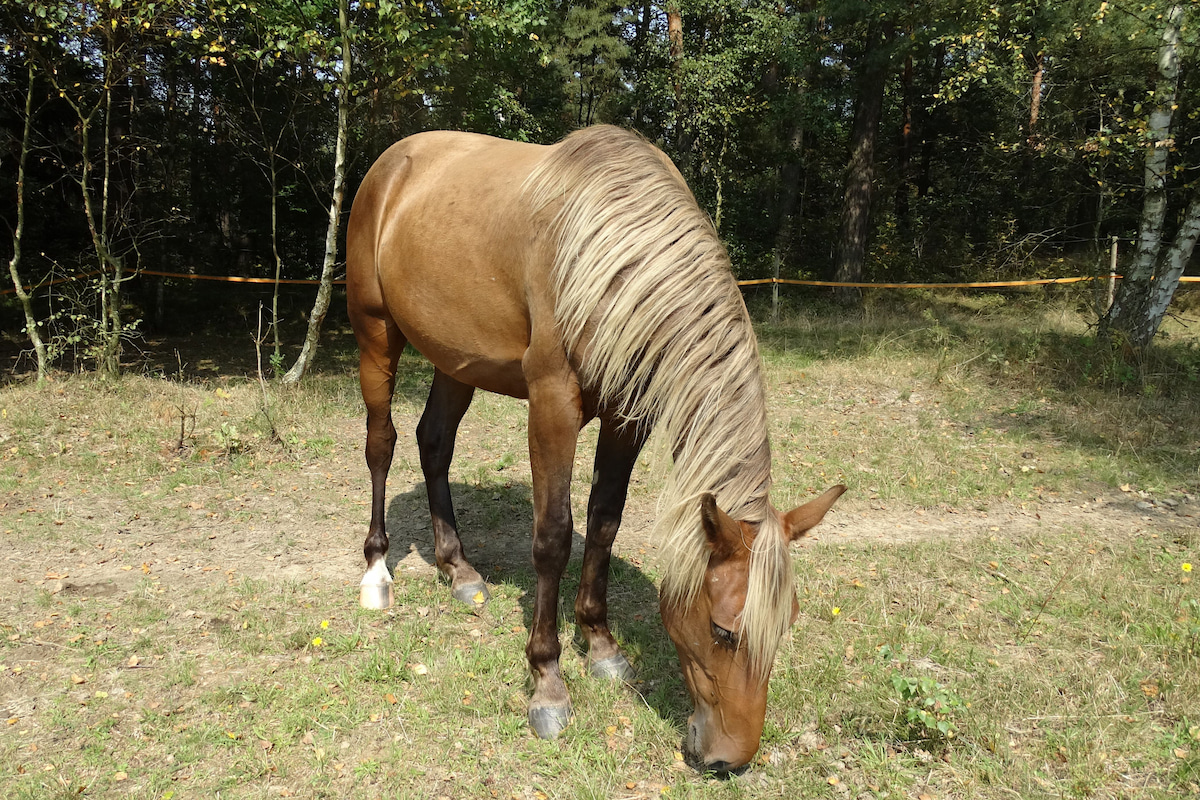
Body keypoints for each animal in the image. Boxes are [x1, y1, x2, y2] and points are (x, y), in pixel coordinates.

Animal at [346, 125, 844, 773]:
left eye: (786, 625)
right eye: (722, 631)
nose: (728, 760)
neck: (613, 251)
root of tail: (393, 163)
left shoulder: (628, 415)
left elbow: (605, 521)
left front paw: (602, 645)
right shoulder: (552, 405)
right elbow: (553, 537)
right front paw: (548, 683)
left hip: (455, 359)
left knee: (435, 443)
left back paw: (459, 570)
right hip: (376, 335)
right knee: (381, 445)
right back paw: (377, 573)